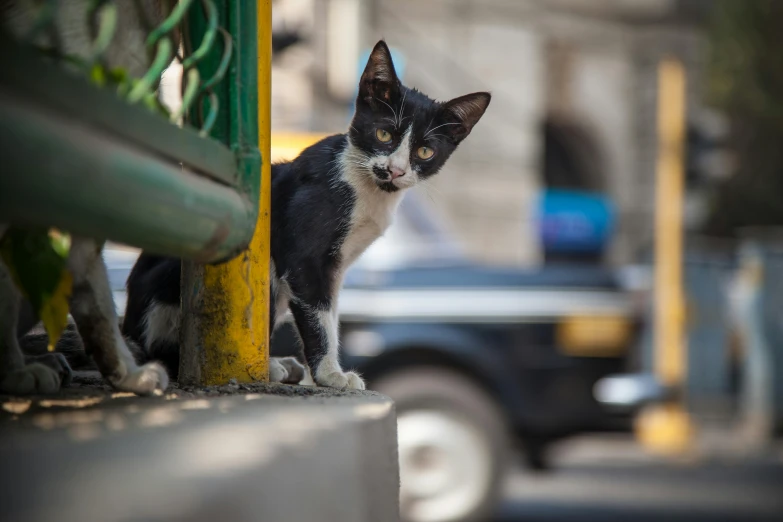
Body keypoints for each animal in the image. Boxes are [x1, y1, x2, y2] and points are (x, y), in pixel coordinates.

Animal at [121, 40, 490, 388]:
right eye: (384, 133)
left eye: (425, 151)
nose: (395, 170)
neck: (366, 189)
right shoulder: (305, 256)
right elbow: (319, 316)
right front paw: (331, 375)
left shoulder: (335, 268)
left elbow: (331, 312)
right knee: (168, 353)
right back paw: (265, 367)